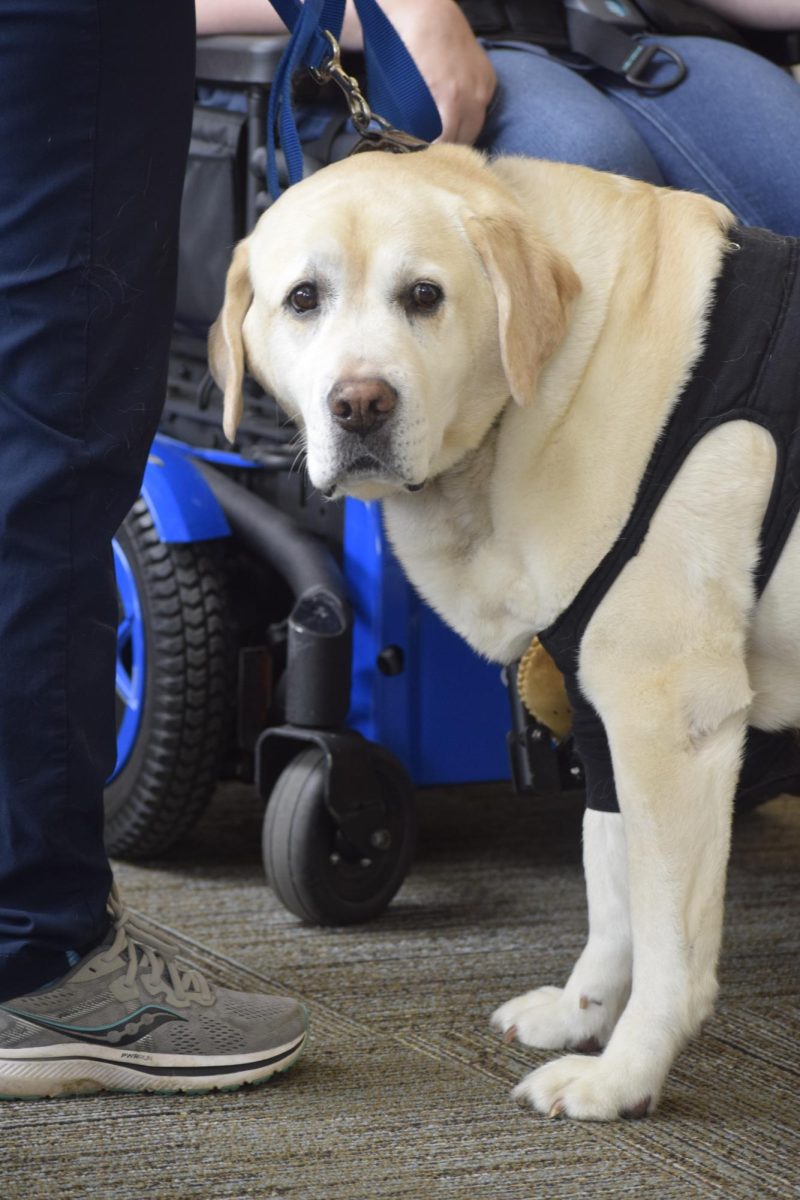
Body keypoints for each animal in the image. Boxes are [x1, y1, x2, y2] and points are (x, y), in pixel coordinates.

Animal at [209, 145, 796, 1118]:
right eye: (302, 299)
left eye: (424, 295)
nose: (360, 404)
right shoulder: (598, 718)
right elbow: (611, 891)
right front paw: (581, 1013)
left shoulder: (667, 718)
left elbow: (668, 944)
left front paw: (624, 1076)